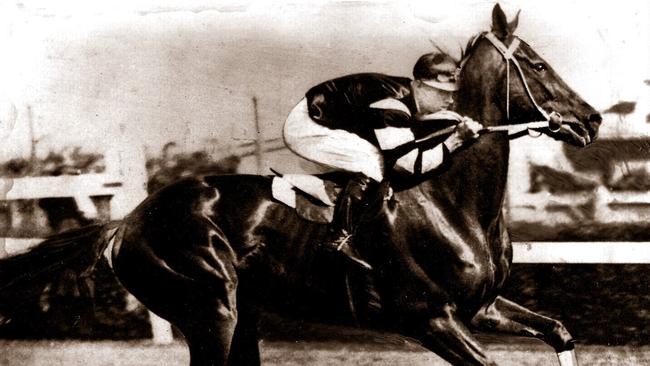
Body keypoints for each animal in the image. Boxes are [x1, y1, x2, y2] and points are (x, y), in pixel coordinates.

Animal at [0, 5, 600, 366]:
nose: (591, 120)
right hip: (210, 309)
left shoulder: (482, 307)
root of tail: (126, 221)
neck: (451, 203)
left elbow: (559, 331)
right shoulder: (430, 318)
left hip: (240, 314)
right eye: (538, 65)